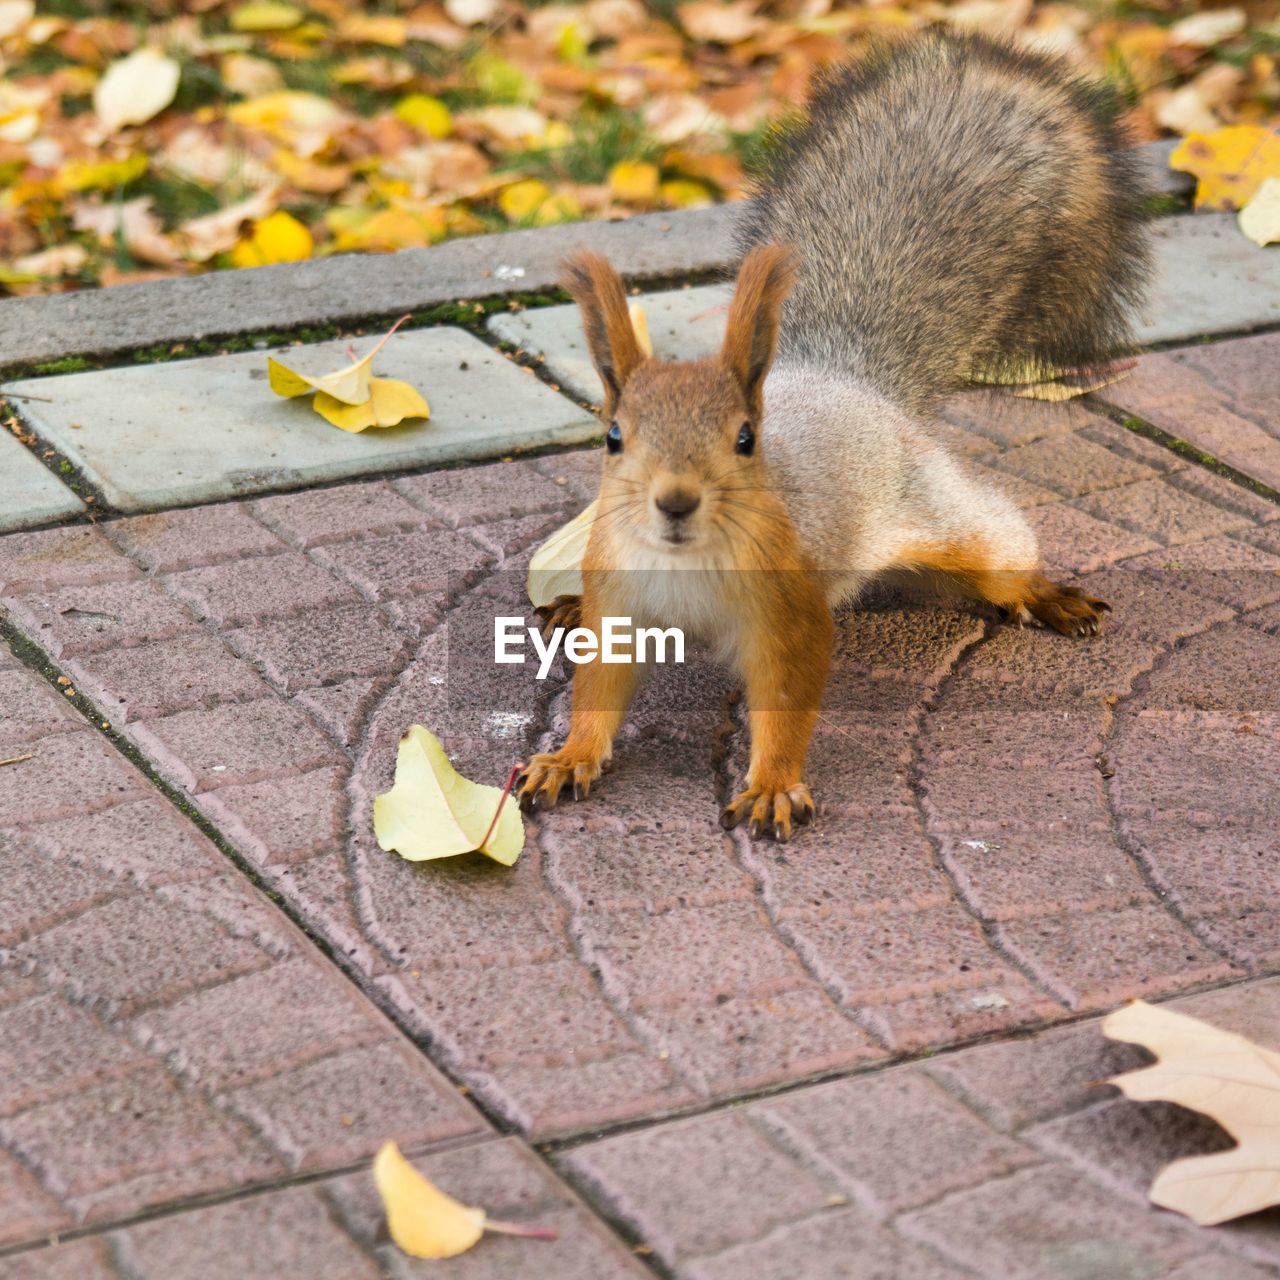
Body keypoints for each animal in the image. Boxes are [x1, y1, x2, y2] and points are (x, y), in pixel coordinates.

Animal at [514, 30, 1157, 839]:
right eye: (613, 438)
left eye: (747, 440)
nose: (676, 501)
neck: (687, 566)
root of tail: (850, 382)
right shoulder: (623, 597)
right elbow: (598, 690)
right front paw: (568, 757)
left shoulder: (789, 611)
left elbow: (787, 702)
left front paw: (771, 785)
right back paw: (566, 605)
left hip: (947, 519)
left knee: (1002, 549)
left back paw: (1046, 594)